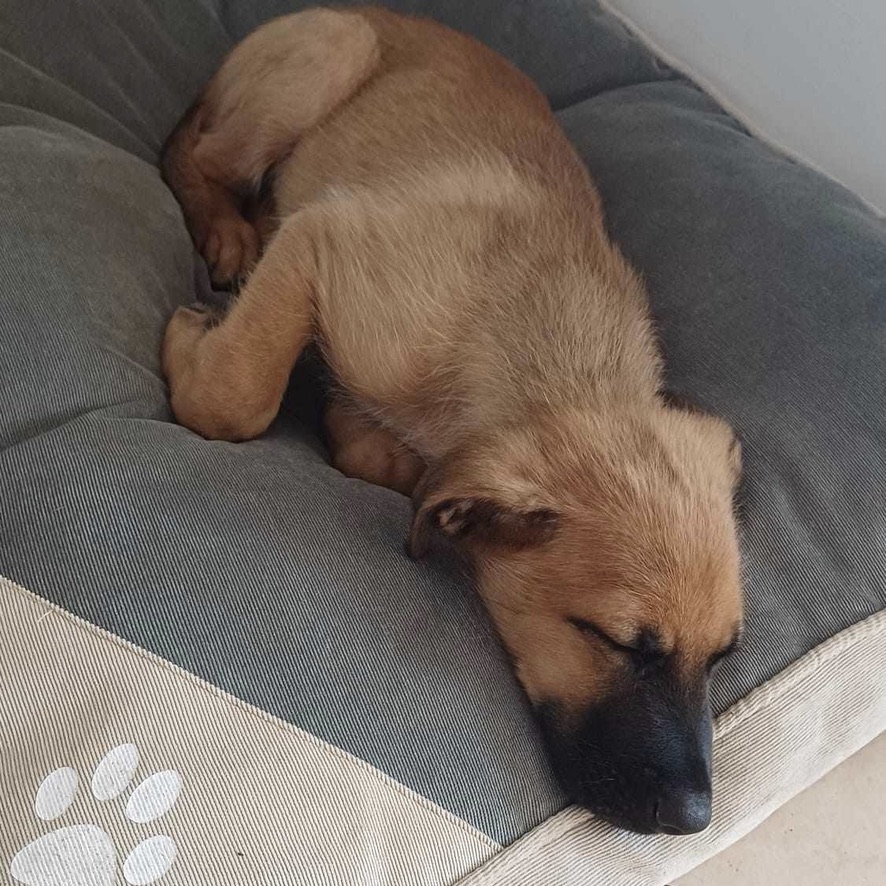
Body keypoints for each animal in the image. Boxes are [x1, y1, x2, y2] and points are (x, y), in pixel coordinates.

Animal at [160, 6, 744, 836]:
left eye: (723, 657)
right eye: (615, 642)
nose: (695, 820)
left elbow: (375, 451)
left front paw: (381, 450)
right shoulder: (324, 241)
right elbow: (235, 397)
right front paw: (194, 346)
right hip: (330, 55)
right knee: (192, 153)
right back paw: (230, 228)